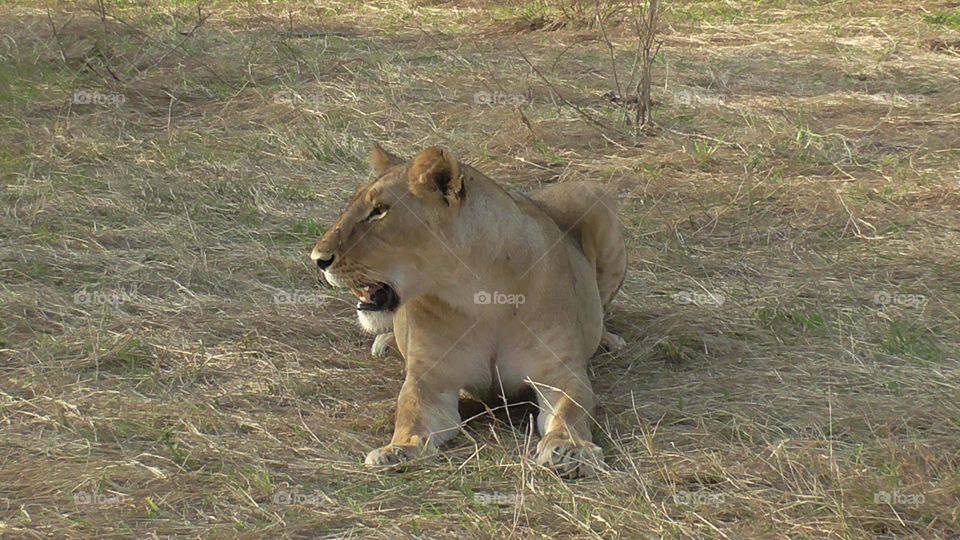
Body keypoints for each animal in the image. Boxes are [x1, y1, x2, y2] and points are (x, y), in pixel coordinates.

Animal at [310, 144, 627, 477]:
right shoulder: (431, 381)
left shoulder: (559, 372)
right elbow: (409, 412)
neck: (479, 294)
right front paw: (398, 450)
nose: (318, 259)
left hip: (594, 195)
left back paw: (608, 340)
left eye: (379, 210)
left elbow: (571, 409)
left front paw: (571, 450)